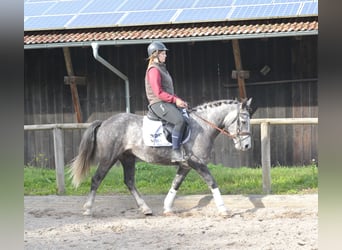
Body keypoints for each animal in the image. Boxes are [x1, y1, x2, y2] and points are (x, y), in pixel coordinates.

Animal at [69, 97, 252, 217]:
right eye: (243, 121)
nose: (247, 146)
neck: (202, 126)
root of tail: (105, 122)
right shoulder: (197, 163)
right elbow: (212, 182)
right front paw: (224, 210)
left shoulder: (185, 165)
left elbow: (176, 184)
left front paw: (167, 208)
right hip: (108, 158)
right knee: (96, 179)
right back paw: (87, 209)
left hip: (127, 158)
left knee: (129, 181)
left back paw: (145, 209)